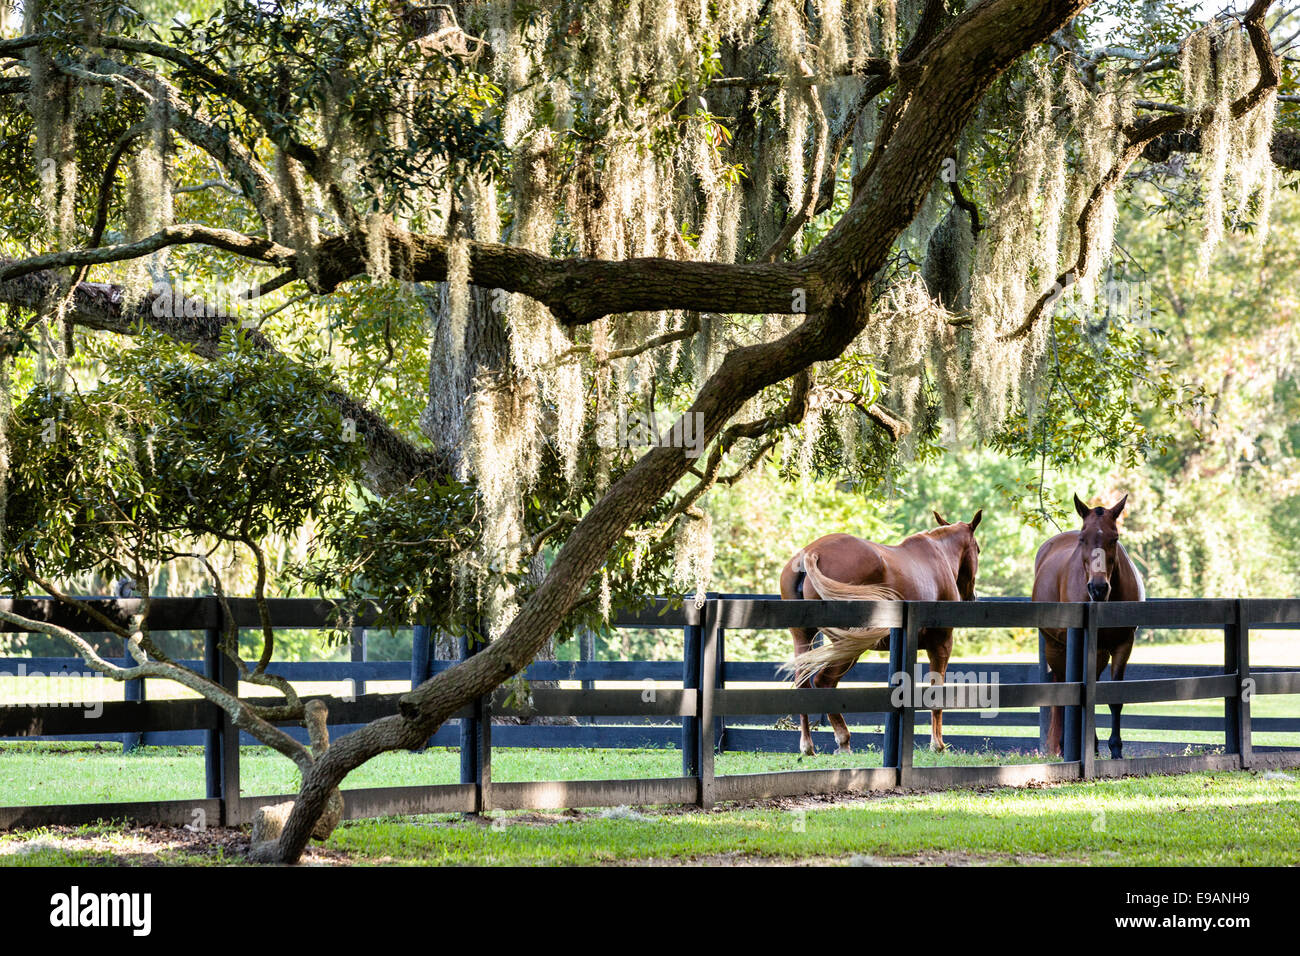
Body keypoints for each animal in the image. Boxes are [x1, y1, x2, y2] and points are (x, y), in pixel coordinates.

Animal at [774, 512, 977, 759]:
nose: (972, 596)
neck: (938, 555)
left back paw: (808, 746)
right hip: (847, 647)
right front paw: (937, 744)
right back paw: (842, 740)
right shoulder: (941, 645)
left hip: (804, 638)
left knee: (803, 683)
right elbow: (935, 692)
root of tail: (811, 553)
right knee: (824, 681)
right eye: (977, 549)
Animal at [1029, 496, 1144, 759]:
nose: (1098, 588)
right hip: (1056, 647)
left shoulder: (1123, 645)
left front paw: (1115, 749)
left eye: (1114, 538)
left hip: (1098, 653)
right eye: (1083, 538)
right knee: (1063, 687)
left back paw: (1091, 745)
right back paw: (1064, 745)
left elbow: (1113, 698)